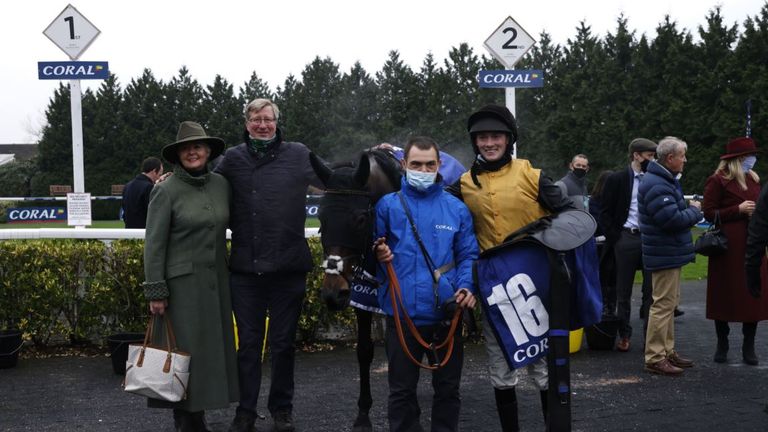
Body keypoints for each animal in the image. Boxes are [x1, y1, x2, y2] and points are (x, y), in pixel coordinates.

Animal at [308, 149, 402, 432]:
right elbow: (364, 350)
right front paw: (363, 414)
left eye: (360, 219)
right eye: (322, 218)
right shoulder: (362, 297)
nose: (333, 294)